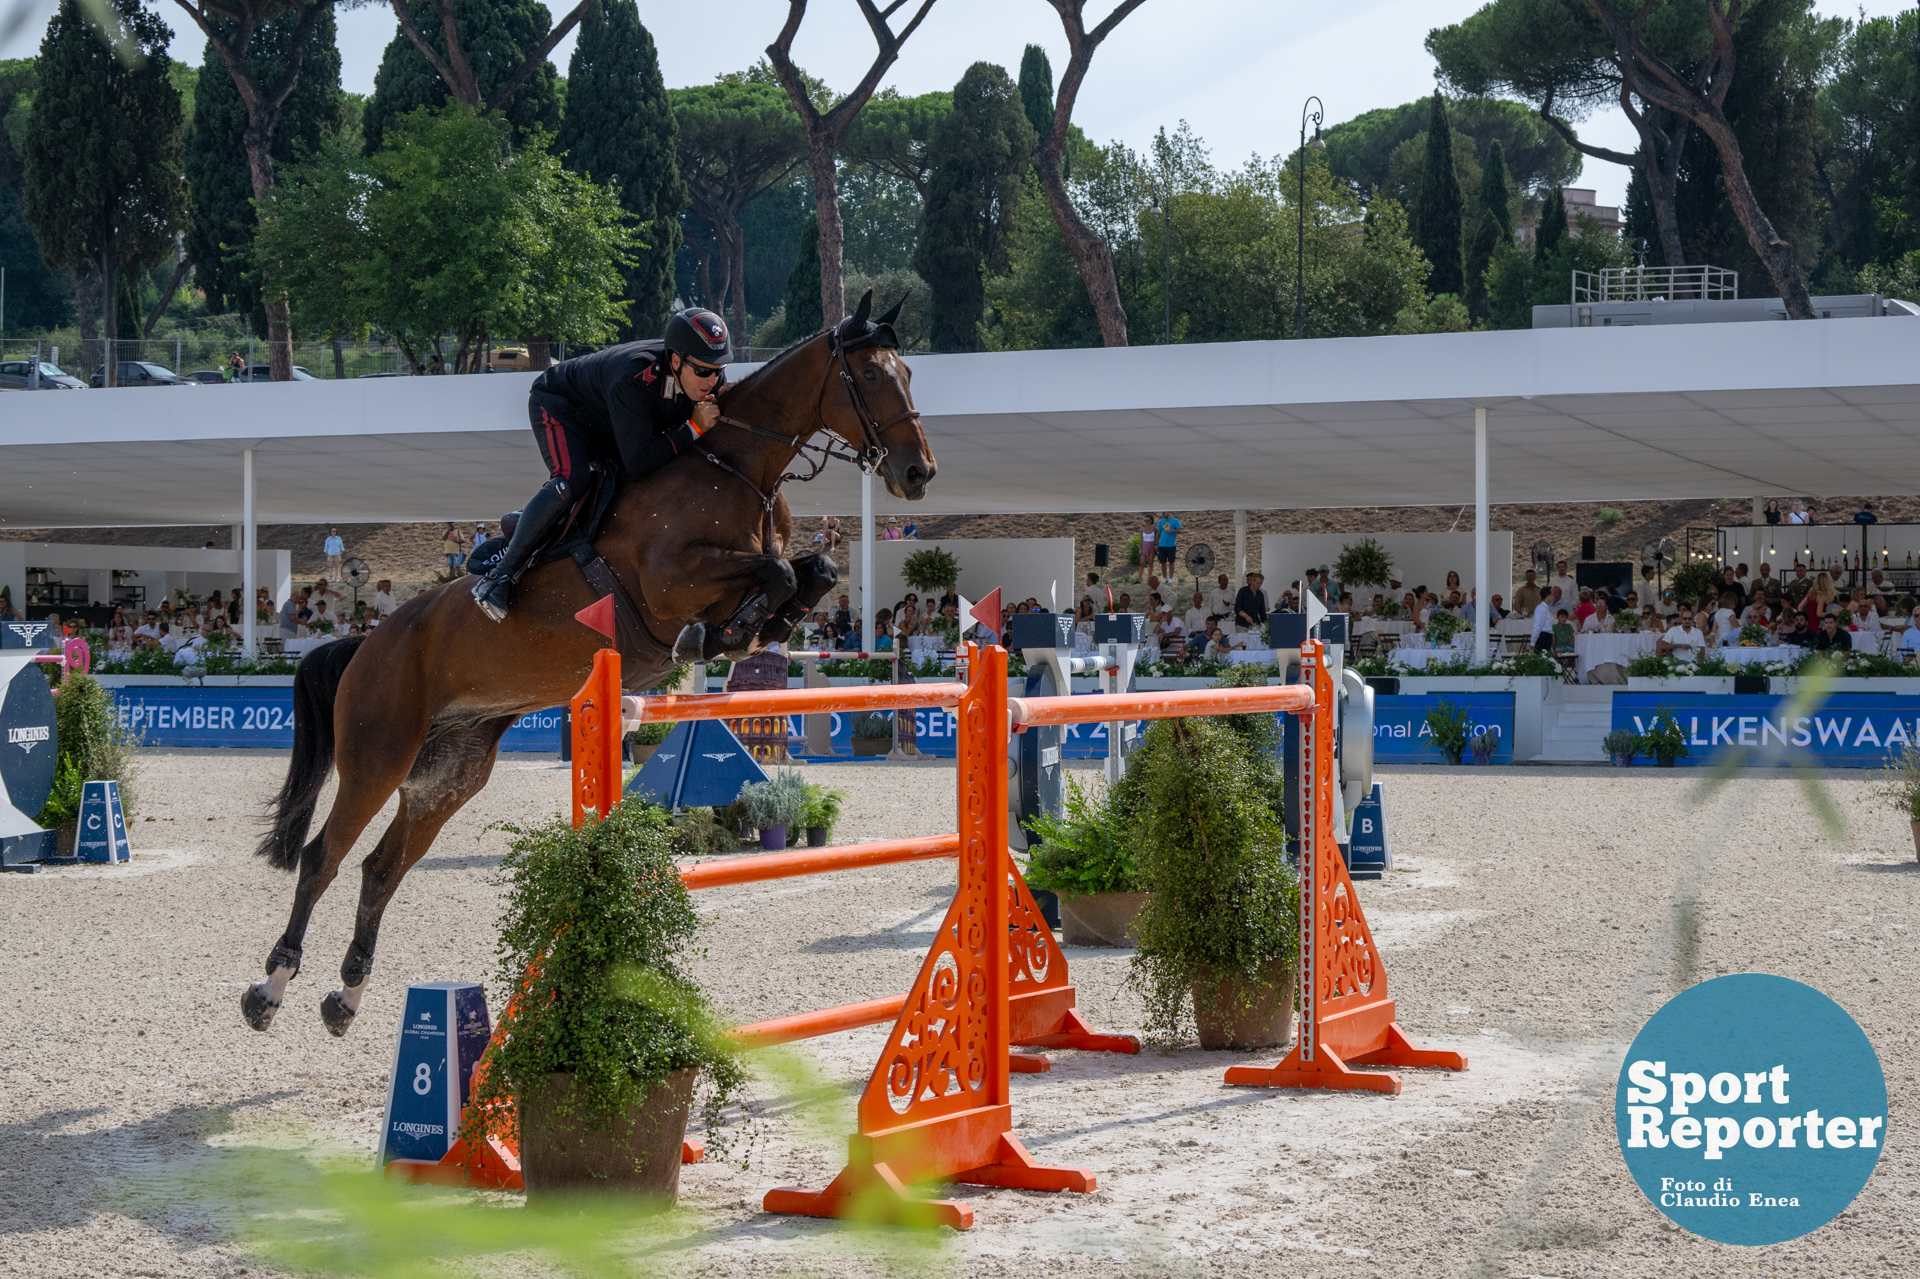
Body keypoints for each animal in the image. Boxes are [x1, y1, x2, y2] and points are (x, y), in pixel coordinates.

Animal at [243, 293, 933, 1029]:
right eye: (869, 375)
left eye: (908, 371)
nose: (918, 473)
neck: (736, 467)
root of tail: (367, 642)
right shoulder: (670, 582)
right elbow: (772, 572)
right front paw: (720, 634)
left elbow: (813, 571)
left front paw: (754, 627)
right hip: (377, 756)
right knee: (322, 857)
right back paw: (269, 989)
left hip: (446, 775)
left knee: (380, 868)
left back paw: (346, 997)